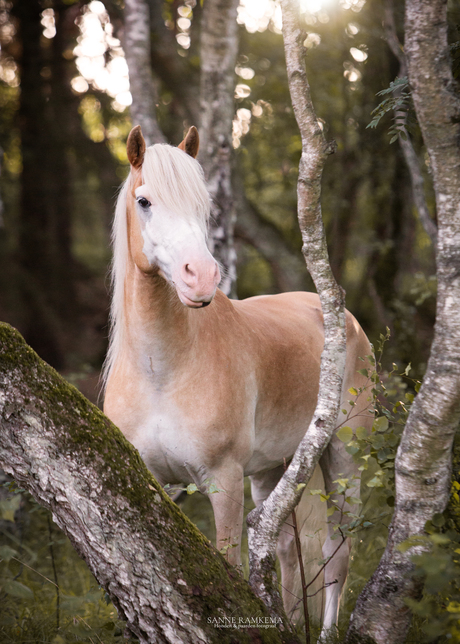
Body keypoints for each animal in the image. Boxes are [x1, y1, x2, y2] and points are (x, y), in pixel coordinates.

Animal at [103, 126, 374, 632]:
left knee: (338, 551)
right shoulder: (152, 478)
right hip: (273, 469)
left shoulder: (223, 480)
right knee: (285, 551)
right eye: (144, 201)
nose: (201, 277)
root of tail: (345, 318)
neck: (162, 372)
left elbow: (229, 565)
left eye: (202, 204)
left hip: (344, 456)